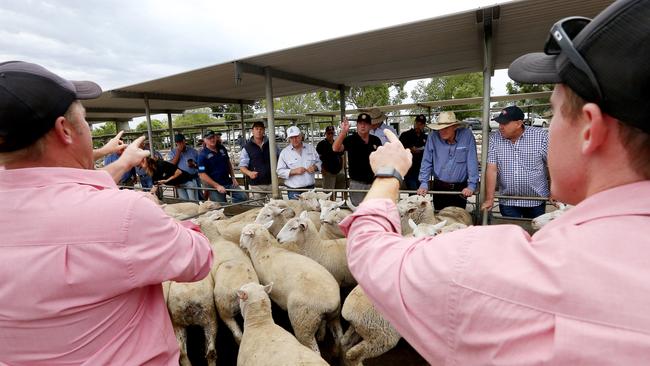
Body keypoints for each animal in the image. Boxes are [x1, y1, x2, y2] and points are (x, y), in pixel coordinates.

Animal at [239, 222, 344, 354]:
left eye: (244, 233)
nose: (240, 243)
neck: (263, 251)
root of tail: (332, 303)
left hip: (304, 319)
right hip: (334, 316)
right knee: (340, 336)